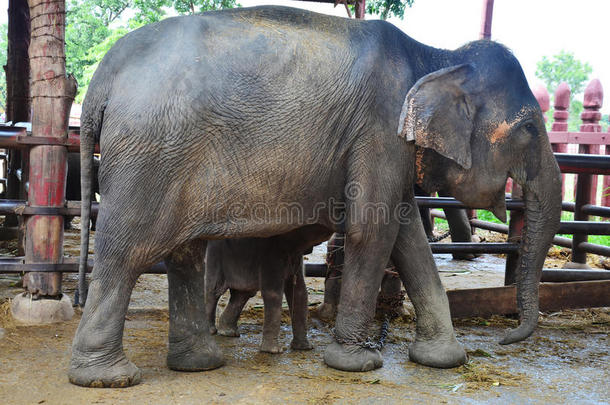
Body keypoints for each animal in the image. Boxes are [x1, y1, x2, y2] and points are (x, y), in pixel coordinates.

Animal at [69, 4, 560, 386]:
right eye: (528, 129)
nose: (506, 336)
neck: (434, 55)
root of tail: (101, 79)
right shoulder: (378, 130)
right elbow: (373, 231)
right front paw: (357, 364)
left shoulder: (385, 145)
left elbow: (406, 236)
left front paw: (443, 360)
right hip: (147, 157)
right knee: (126, 253)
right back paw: (108, 377)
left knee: (184, 253)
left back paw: (199, 363)